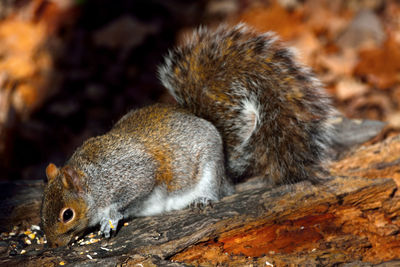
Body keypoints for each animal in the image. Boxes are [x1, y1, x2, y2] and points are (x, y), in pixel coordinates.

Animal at [40, 24, 336, 248]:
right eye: (42, 208)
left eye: (67, 214)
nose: (54, 246)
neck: (94, 180)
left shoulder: (133, 174)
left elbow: (131, 193)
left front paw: (110, 218)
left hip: (209, 168)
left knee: (217, 189)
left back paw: (204, 198)